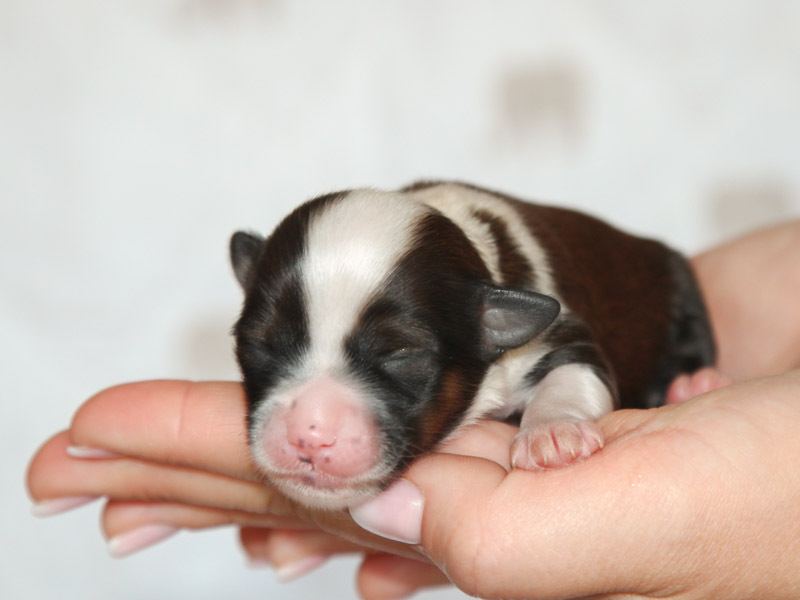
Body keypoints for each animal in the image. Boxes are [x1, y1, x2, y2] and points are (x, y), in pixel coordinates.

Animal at [230, 181, 715, 510]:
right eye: (258, 343)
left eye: (400, 353)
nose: (309, 435)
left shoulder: (563, 334)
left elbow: (573, 374)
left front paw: (553, 435)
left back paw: (695, 383)